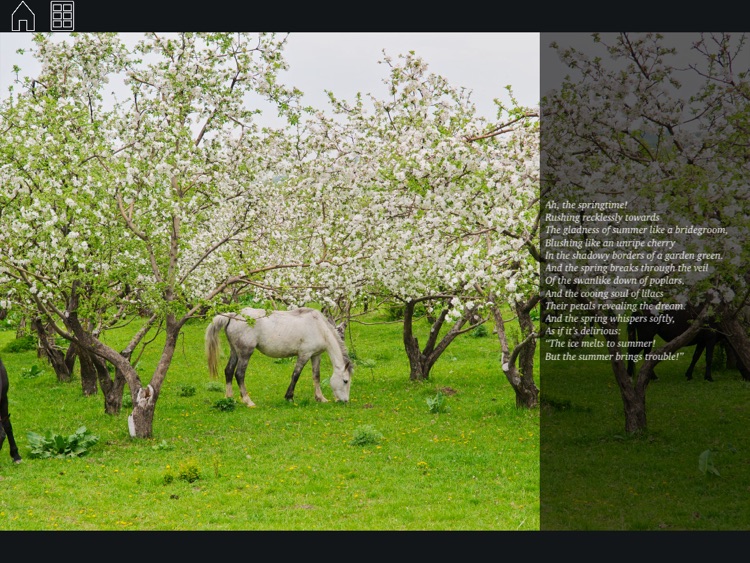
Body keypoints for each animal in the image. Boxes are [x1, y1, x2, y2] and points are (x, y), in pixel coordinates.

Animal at [204, 306, 354, 408]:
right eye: (345, 381)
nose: (345, 401)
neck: (319, 327)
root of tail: (233, 315)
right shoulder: (304, 354)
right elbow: (295, 375)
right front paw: (289, 397)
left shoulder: (315, 355)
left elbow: (316, 376)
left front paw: (320, 398)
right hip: (245, 353)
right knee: (239, 374)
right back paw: (248, 401)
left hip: (235, 352)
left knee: (228, 371)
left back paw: (229, 398)